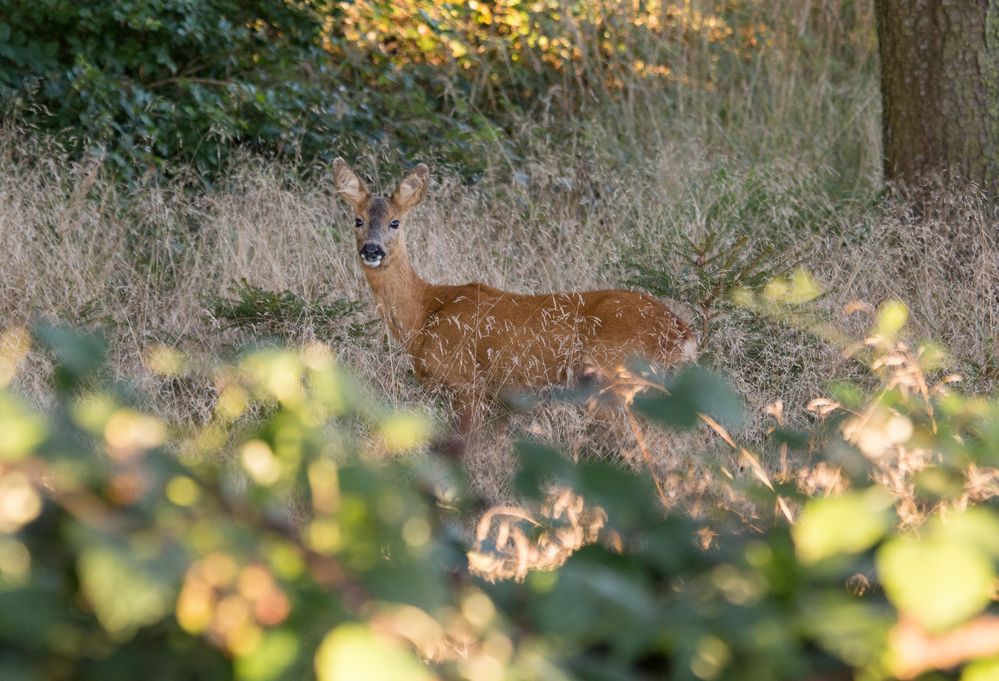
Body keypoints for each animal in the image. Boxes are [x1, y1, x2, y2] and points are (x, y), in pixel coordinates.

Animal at [334, 158, 696, 436]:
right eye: (358, 220)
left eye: (395, 222)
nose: (372, 250)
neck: (425, 313)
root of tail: (682, 333)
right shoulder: (499, 401)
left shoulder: (467, 384)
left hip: (612, 377)